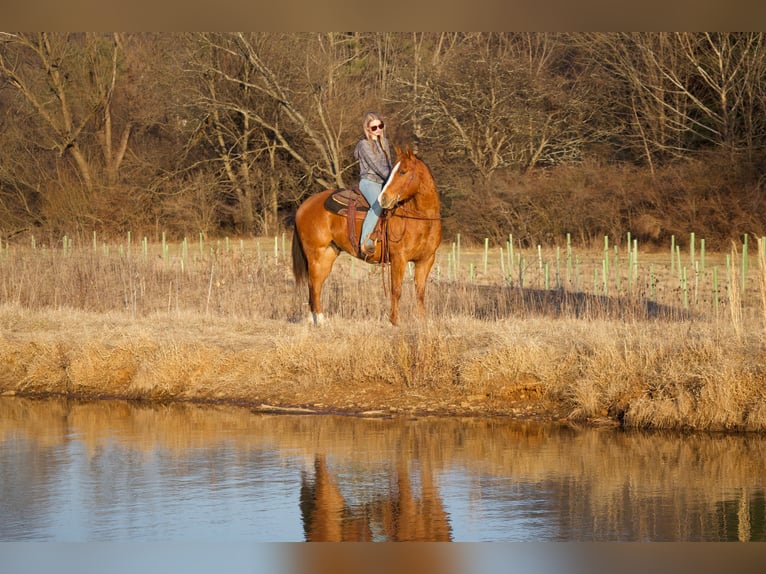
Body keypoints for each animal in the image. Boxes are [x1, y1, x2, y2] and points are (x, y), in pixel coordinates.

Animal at [292, 147, 440, 328]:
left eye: (403, 171)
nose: (384, 199)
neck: (421, 219)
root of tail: (304, 205)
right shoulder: (399, 258)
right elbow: (396, 290)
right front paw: (394, 321)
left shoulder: (426, 260)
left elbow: (420, 291)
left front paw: (422, 320)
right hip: (315, 254)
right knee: (313, 283)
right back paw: (320, 320)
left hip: (328, 254)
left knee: (317, 284)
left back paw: (312, 319)